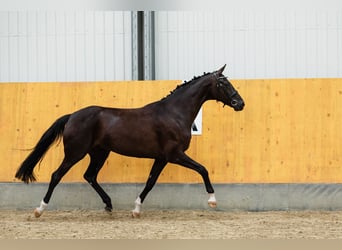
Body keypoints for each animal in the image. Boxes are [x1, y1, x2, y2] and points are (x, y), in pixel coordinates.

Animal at [15, 65, 243, 218]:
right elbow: (203, 169)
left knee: (90, 176)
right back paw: (39, 210)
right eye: (223, 83)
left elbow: (150, 182)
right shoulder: (175, 155)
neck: (174, 113)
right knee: (56, 175)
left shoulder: (162, 158)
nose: (239, 103)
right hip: (75, 153)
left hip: (99, 153)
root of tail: (72, 116)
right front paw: (212, 201)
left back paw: (108, 205)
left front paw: (136, 210)